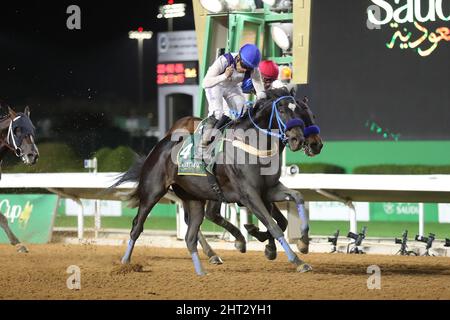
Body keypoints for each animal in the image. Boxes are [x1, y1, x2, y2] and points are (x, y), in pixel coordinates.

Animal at [114, 88, 320, 276]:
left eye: (305, 114)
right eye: (283, 110)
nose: (302, 140)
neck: (254, 146)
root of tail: (160, 144)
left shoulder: (268, 190)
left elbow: (297, 198)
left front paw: (302, 243)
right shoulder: (249, 195)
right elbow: (273, 225)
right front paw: (297, 261)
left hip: (194, 197)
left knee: (191, 233)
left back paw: (204, 268)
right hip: (152, 192)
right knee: (137, 226)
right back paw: (125, 263)